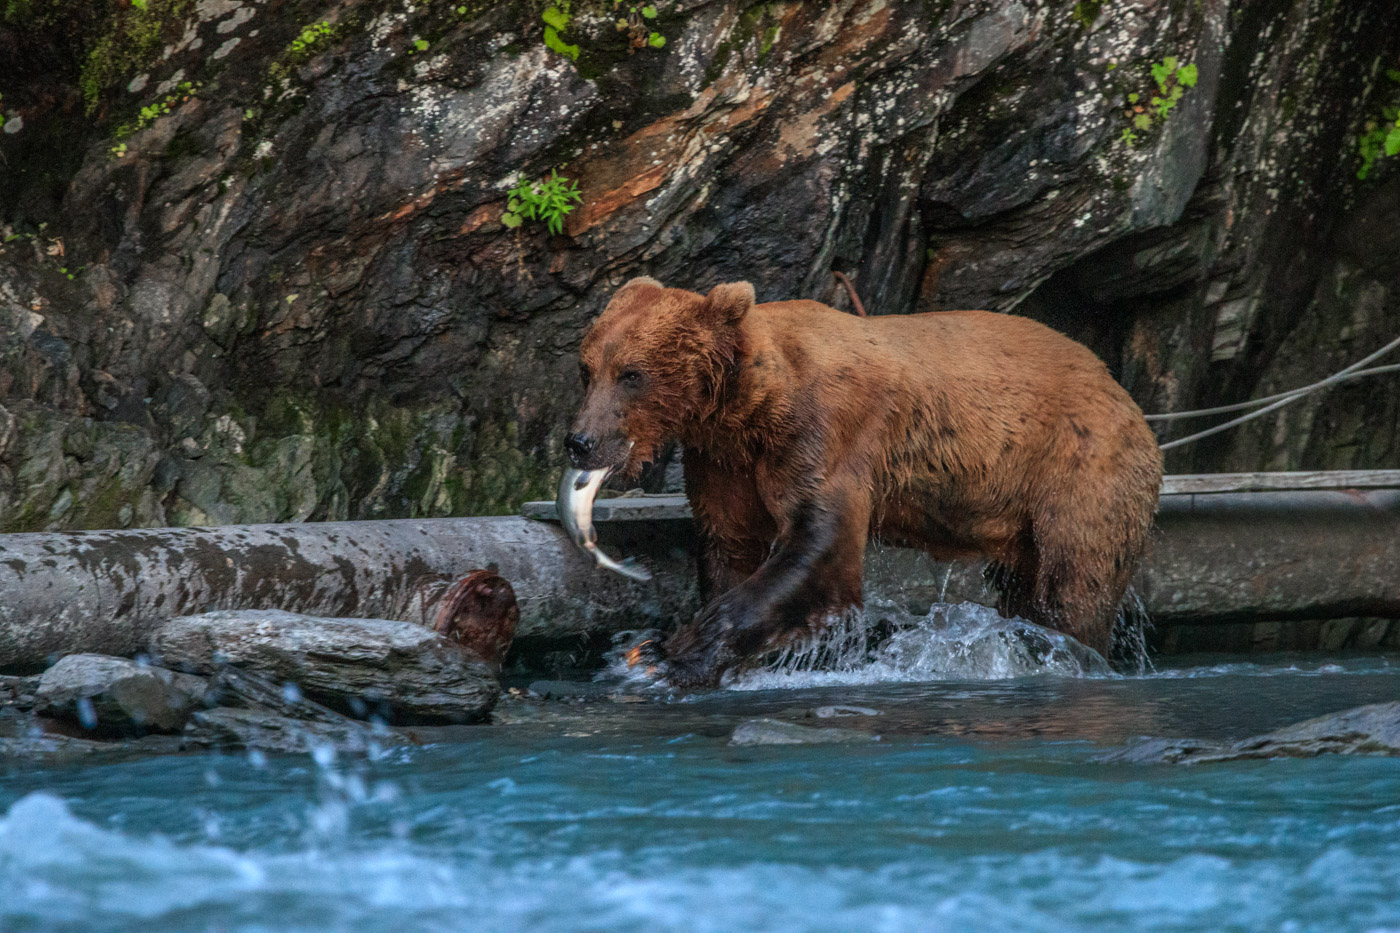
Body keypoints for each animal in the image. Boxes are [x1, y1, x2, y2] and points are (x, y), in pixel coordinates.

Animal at [562, 275, 1164, 683]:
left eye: (632, 374)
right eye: (587, 369)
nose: (580, 440)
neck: (747, 405)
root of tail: (1118, 387)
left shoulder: (825, 432)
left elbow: (818, 546)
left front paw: (670, 653)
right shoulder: (724, 462)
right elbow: (729, 546)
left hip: (1078, 469)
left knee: (1073, 585)